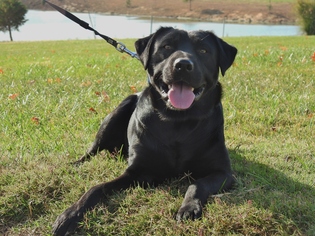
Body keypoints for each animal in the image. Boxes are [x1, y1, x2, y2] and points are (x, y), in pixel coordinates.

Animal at [53, 26, 238, 235]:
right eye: (166, 46)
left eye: (204, 50)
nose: (183, 65)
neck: (177, 120)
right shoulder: (137, 172)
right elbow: (97, 188)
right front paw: (71, 214)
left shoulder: (223, 173)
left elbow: (198, 183)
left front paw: (189, 207)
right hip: (117, 111)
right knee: (92, 150)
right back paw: (76, 163)